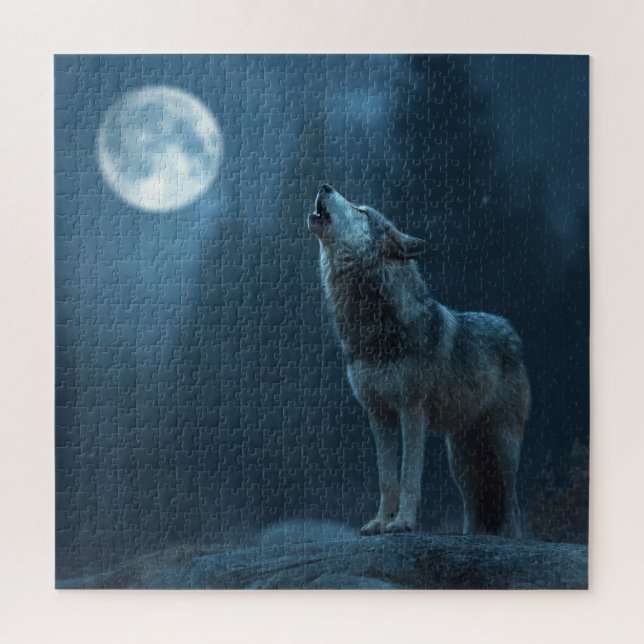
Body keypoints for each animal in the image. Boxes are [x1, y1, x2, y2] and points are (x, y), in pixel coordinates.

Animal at [308, 184, 530, 538]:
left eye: (361, 211)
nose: (325, 186)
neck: (374, 329)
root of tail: (510, 330)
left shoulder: (412, 410)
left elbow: (408, 476)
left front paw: (402, 523)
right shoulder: (379, 414)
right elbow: (387, 479)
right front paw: (380, 522)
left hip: (502, 446)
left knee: (512, 501)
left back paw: (513, 538)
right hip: (462, 461)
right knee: (474, 505)